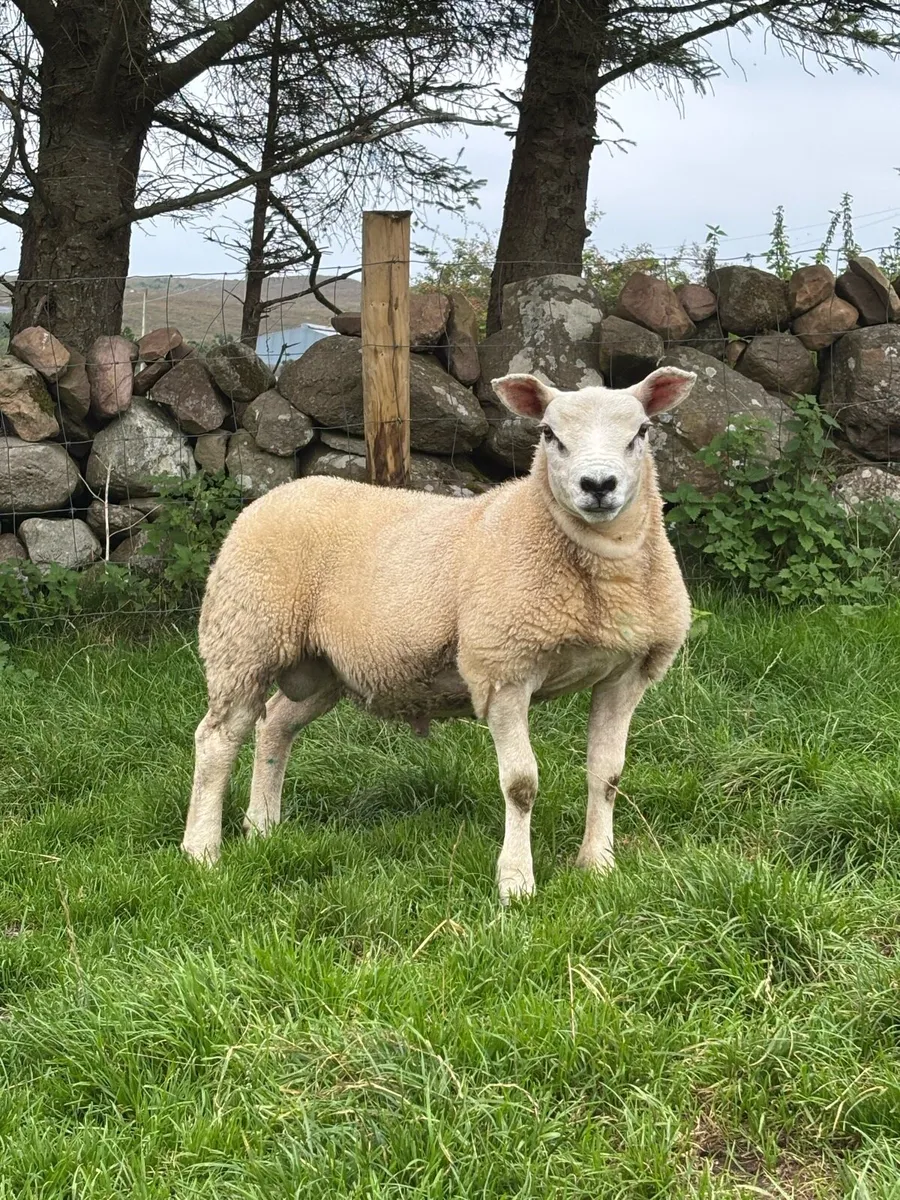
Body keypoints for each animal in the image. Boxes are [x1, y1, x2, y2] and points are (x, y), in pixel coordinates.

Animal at [182, 365, 697, 901]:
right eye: (549, 435)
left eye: (641, 432)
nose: (598, 485)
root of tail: (277, 493)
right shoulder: (502, 669)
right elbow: (521, 784)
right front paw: (516, 882)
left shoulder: (626, 674)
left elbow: (607, 775)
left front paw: (598, 865)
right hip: (245, 636)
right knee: (218, 738)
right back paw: (202, 849)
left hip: (323, 665)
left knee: (275, 725)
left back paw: (262, 826)